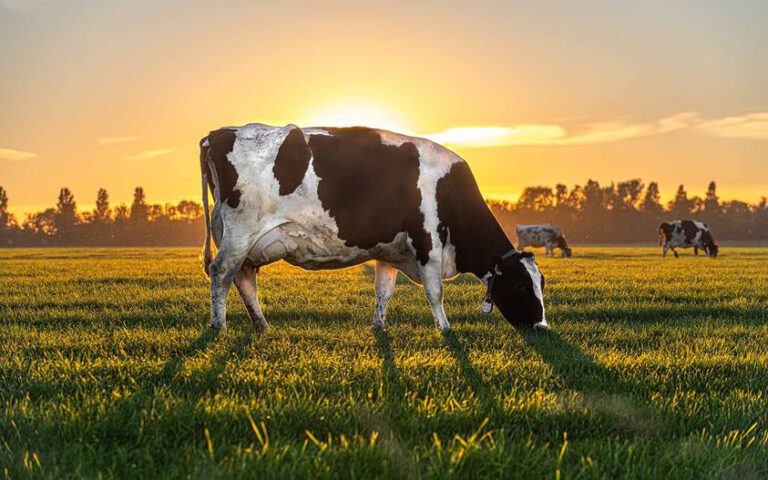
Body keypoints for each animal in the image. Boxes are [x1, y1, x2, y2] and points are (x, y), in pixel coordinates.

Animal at [199, 123, 548, 333]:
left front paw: (379, 326)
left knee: (243, 277)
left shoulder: (389, 249)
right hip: (240, 232)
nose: (542, 326)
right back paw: (218, 325)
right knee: (222, 272)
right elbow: (435, 292)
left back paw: (261, 325)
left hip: (243, 240)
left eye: (541, 282)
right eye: (520, 285)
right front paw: (445, 329)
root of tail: (219, 133)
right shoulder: (428, 243)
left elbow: (384, 290)